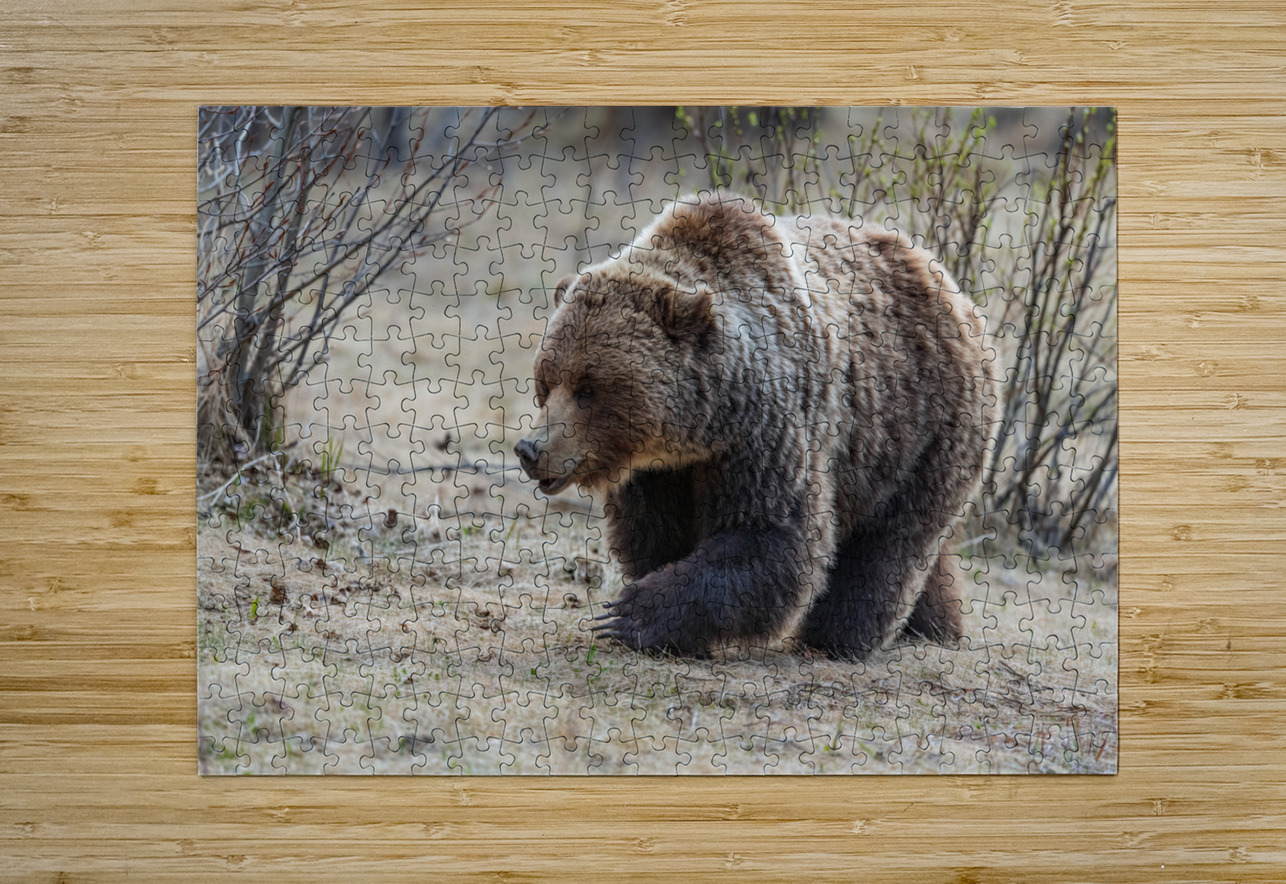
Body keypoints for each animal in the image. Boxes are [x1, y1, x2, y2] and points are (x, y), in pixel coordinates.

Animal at [514, 194, 992, 658]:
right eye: (546, 382)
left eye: (588, 388)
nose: (531, 449)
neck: (699, 430)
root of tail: (957, 295)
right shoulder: (659, 472)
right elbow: (655, 531)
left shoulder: (769, 426)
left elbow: (771, 535)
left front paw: (633, 614)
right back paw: (936, 626)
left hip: (926, 428)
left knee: (891, 541)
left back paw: (839, 638)